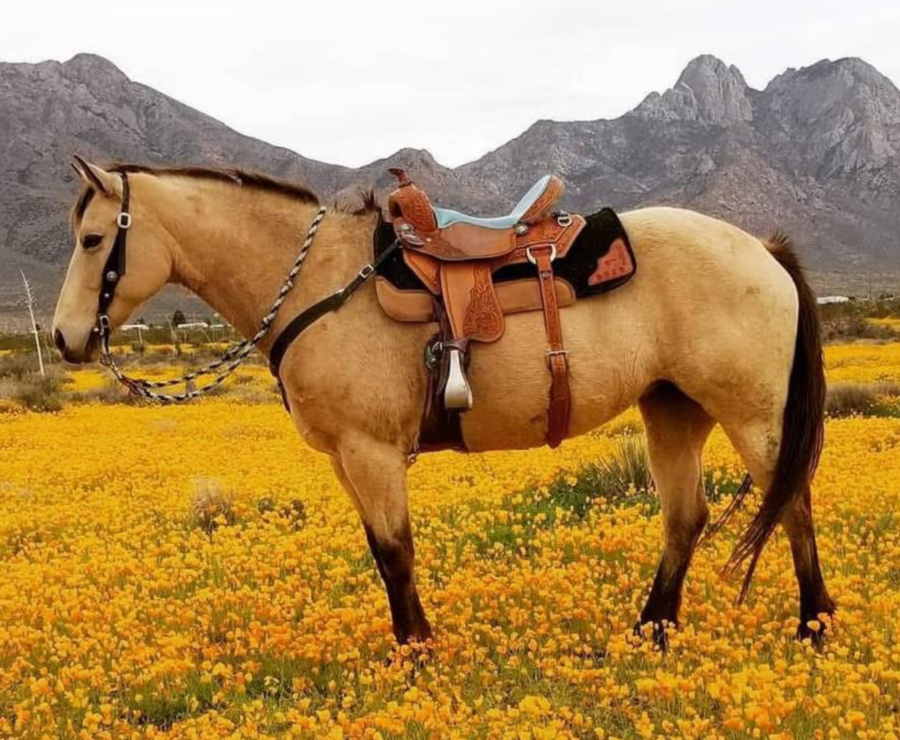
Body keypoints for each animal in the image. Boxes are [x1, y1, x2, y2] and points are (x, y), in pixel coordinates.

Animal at [53, 157, 835, 647]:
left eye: (92, 239)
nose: (63, 337)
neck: (322, 284)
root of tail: (762, 250)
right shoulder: (346, 459)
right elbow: (381, 553)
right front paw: (412, 645)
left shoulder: (371, 451)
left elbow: (395, 552)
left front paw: (418, 653)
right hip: (673, 408)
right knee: (686, 519)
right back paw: (652, 631)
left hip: (752, 415)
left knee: (792, 504)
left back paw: (814, 627)